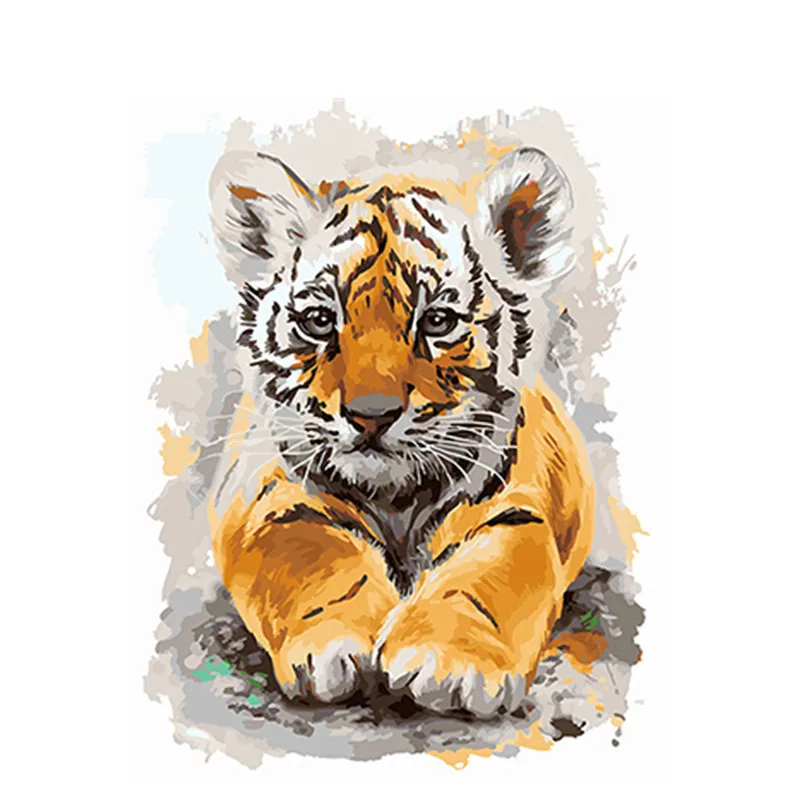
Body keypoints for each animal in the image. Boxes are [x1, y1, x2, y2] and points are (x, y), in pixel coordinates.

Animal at [207, 145, 595, 719]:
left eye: (436, 322)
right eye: (319, 320)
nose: (372, 414)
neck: (396, 498)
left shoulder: (515, 509)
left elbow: (484, 579)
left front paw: (448, 660)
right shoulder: (272, 497)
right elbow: (315, 557)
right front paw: (338, 642)